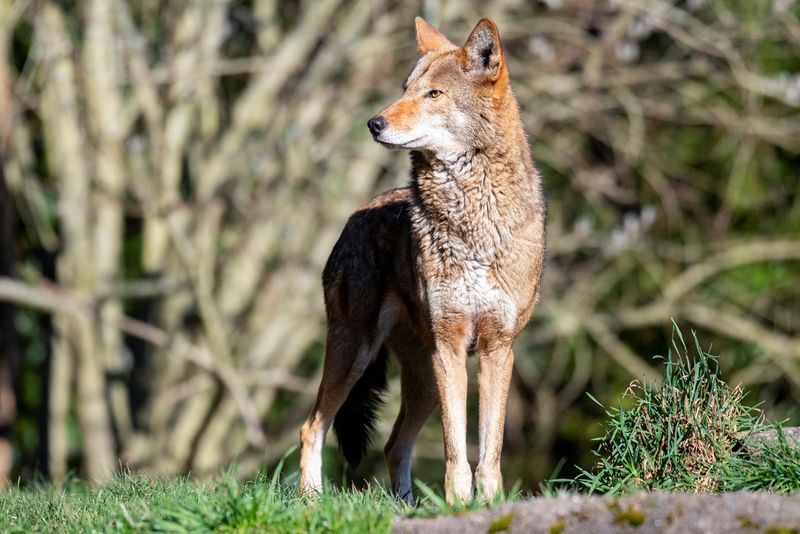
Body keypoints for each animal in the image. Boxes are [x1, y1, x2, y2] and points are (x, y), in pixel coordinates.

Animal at [296, 14, 548, 504]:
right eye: (405, 88)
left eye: (433, 94)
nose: (373, 122)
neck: (472, 216)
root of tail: (357, 213)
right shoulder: (449, 346)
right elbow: (455, 450)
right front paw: (459, 504)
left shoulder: (497, 349)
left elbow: (489, 451)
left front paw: (486, 505)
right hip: (359, 355)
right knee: (313, 427)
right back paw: (311, 502)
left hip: (421, 379)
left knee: (394, 445)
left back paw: (407, 505)